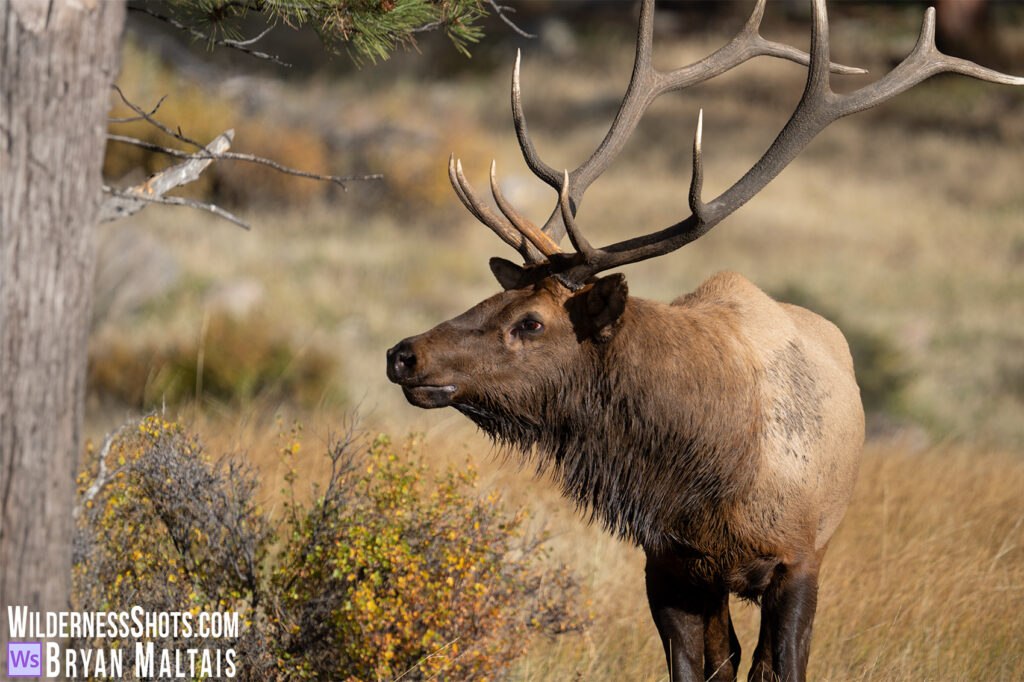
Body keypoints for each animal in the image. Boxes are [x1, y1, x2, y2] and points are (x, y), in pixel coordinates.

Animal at [385, 1, 1022, 679]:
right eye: (496, 297)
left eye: (531, 321)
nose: (404, 354)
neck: (709, 476)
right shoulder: (670, 565)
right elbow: (700, 666)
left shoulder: (798, 558)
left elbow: (782, 664)